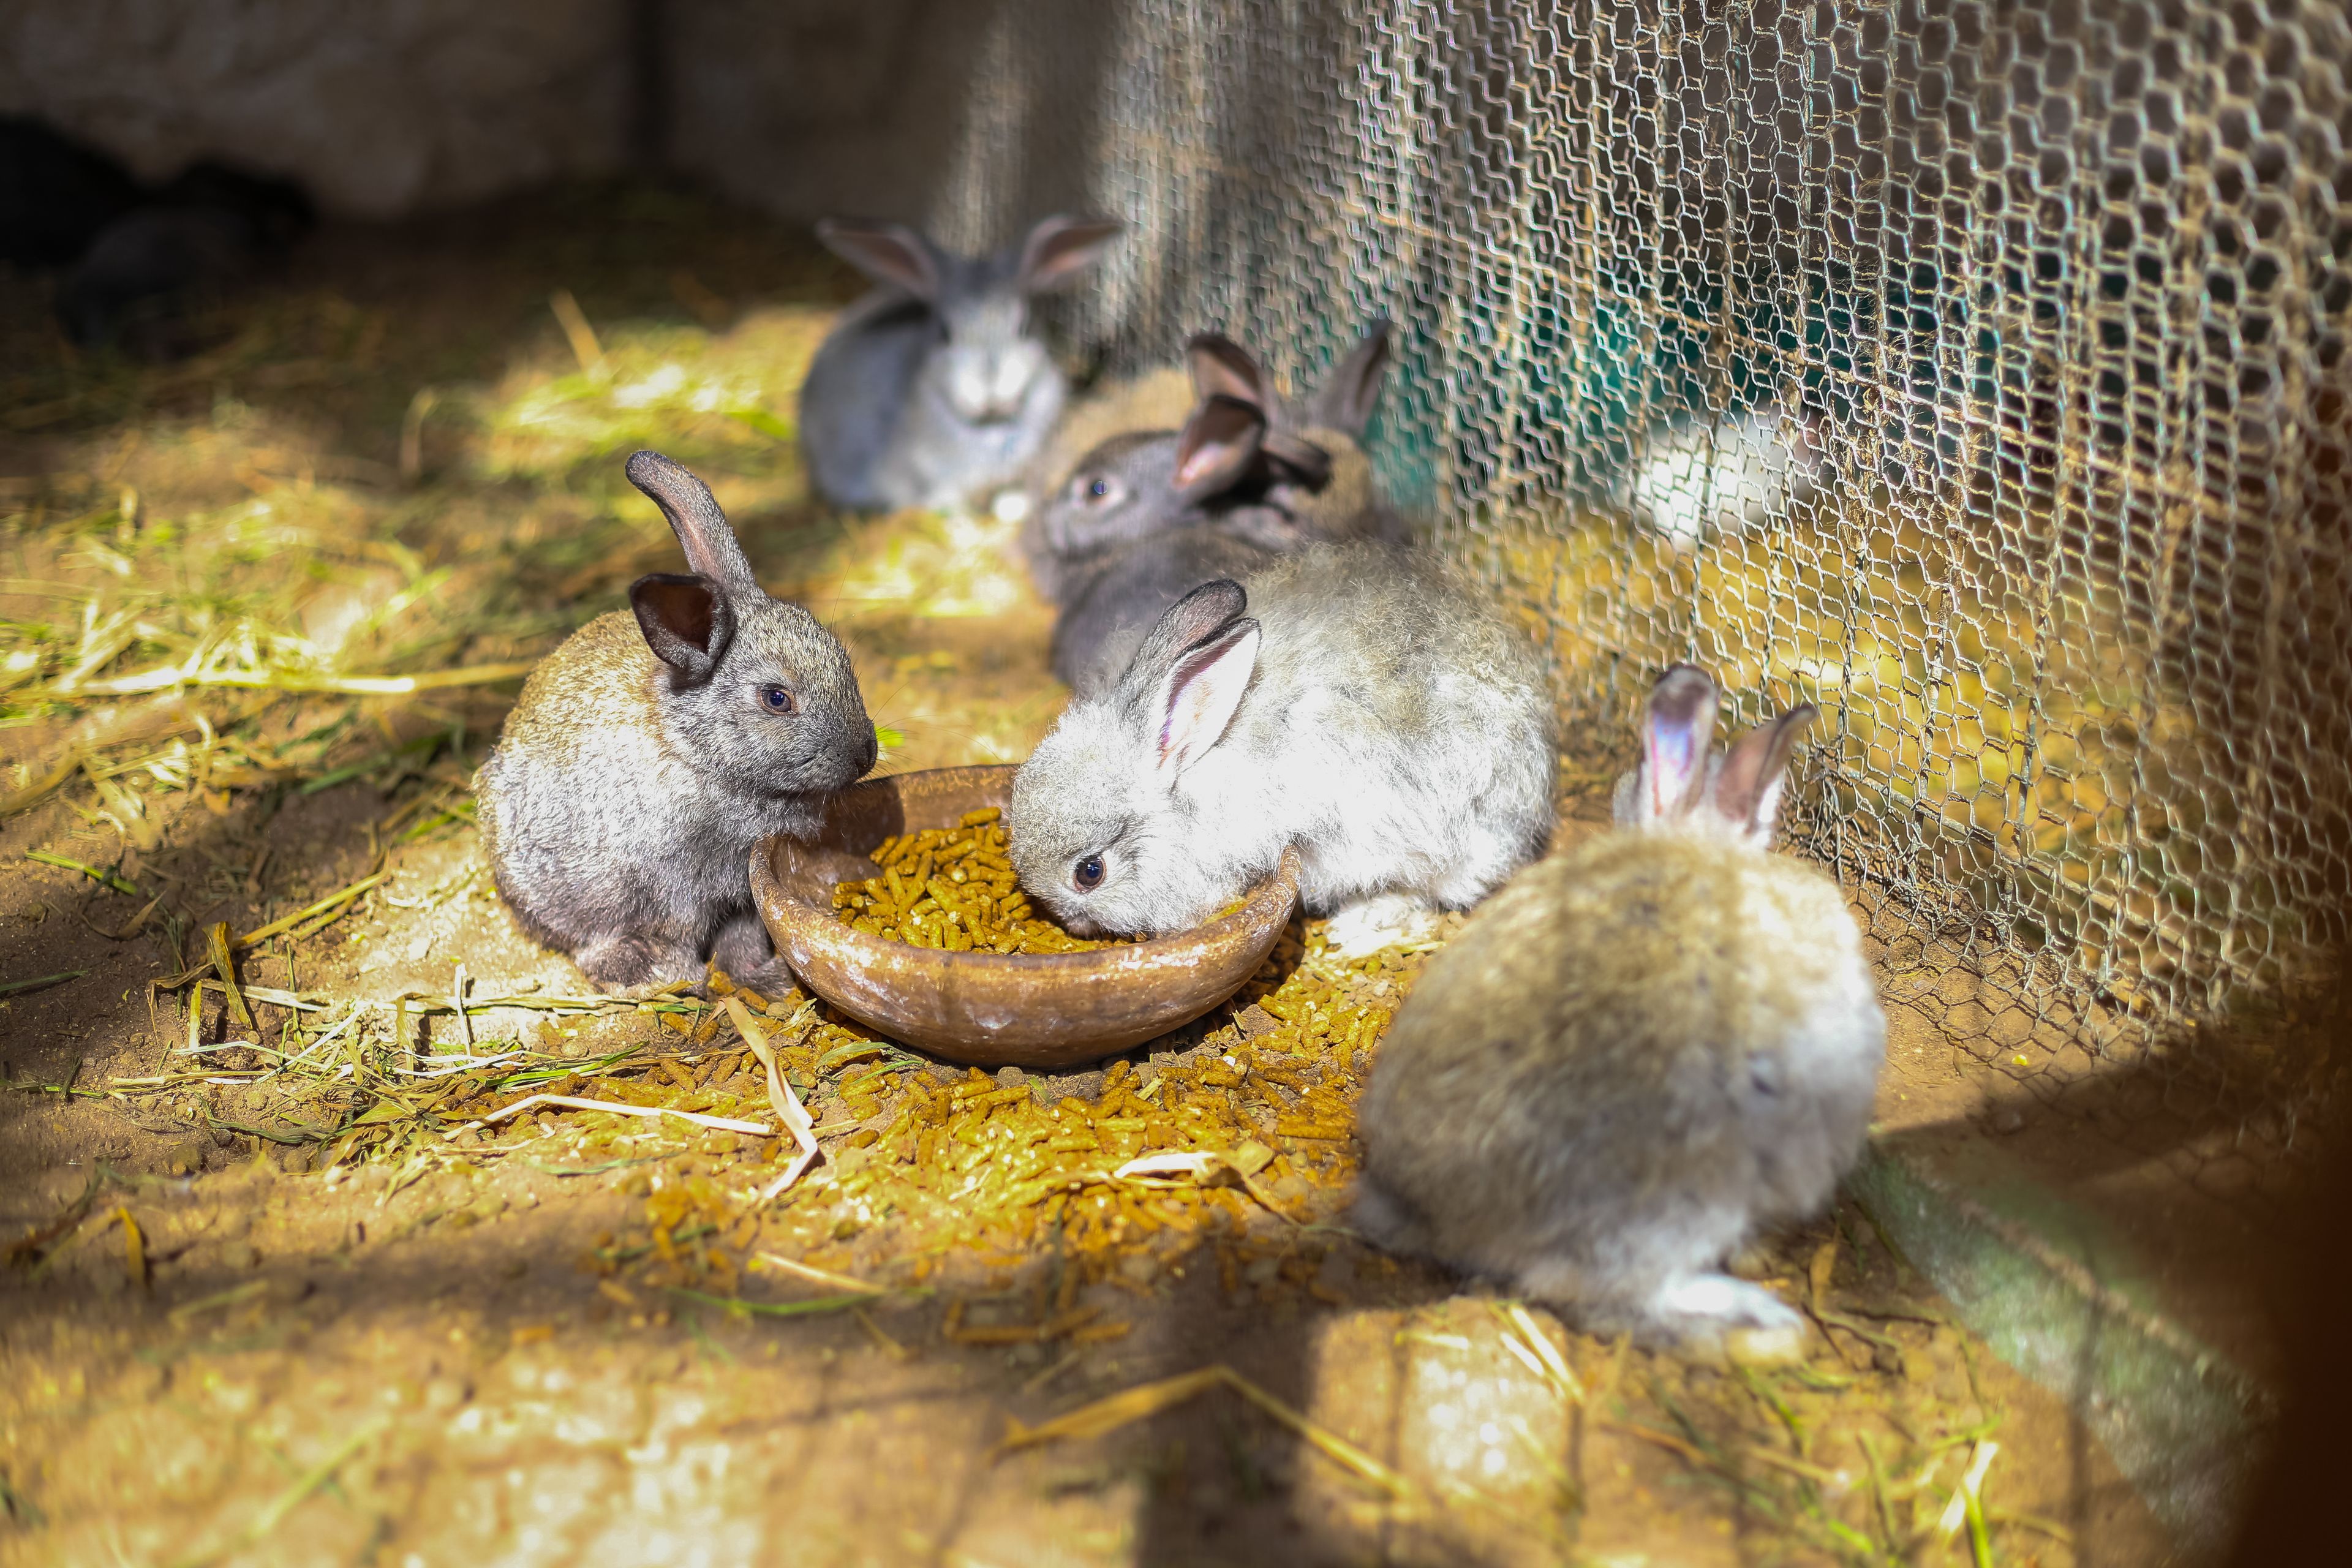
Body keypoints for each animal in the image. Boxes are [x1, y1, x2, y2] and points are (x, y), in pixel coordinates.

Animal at [475, 450, 877, 994]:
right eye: (777, 699)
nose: (865, 755)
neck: (698, 754)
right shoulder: (672, 892)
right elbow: (681, 935)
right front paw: (684, 977)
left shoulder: (742, 892)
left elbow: (743, 937)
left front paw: (763, 979)